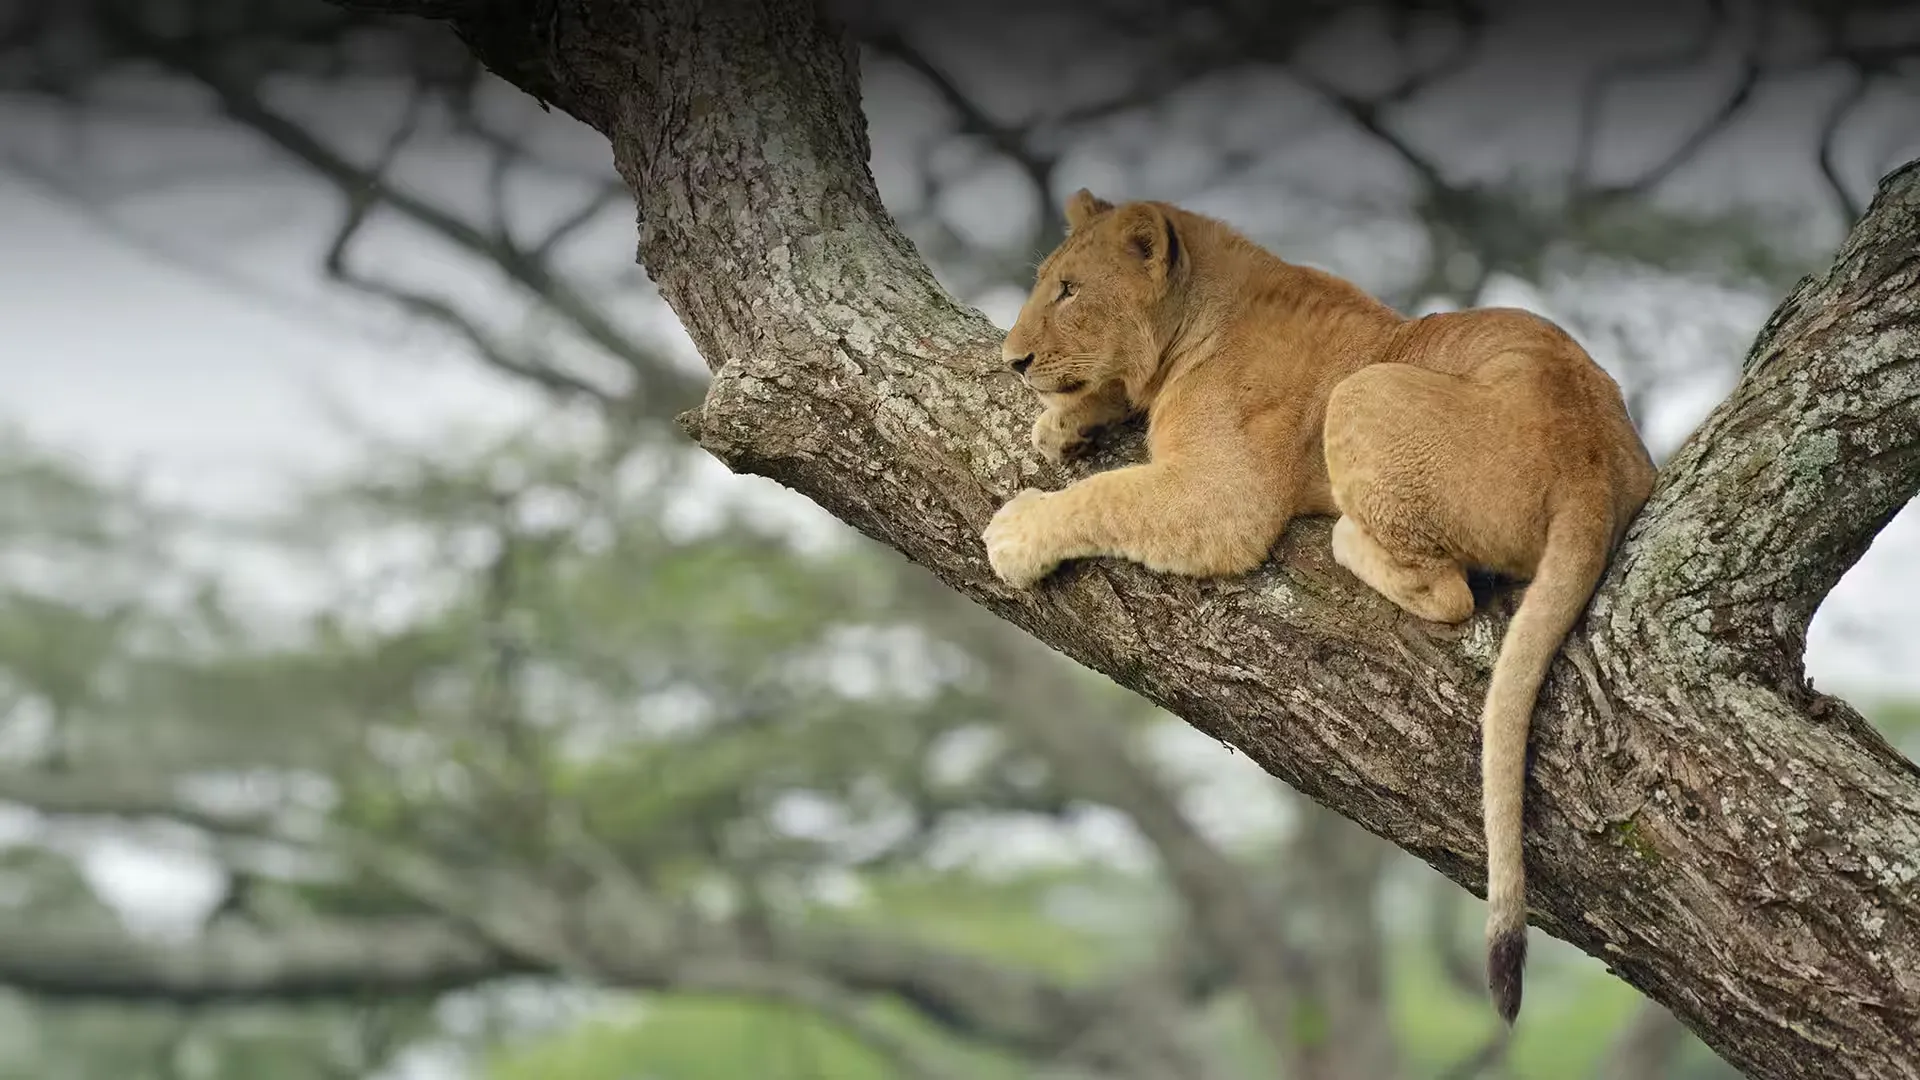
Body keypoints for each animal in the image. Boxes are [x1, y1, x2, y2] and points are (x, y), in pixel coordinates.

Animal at [982, 188, 1657, 1024]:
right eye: (1048, 282)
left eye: (1070, 291)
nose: (1011, 361)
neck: (1198, 316)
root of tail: (1590, 460)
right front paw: (1064, 422)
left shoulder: (1222, 498)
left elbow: (1105, 496)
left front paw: (1016, 533)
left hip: (1363, 391)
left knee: (1450, 592)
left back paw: (1346, 538)